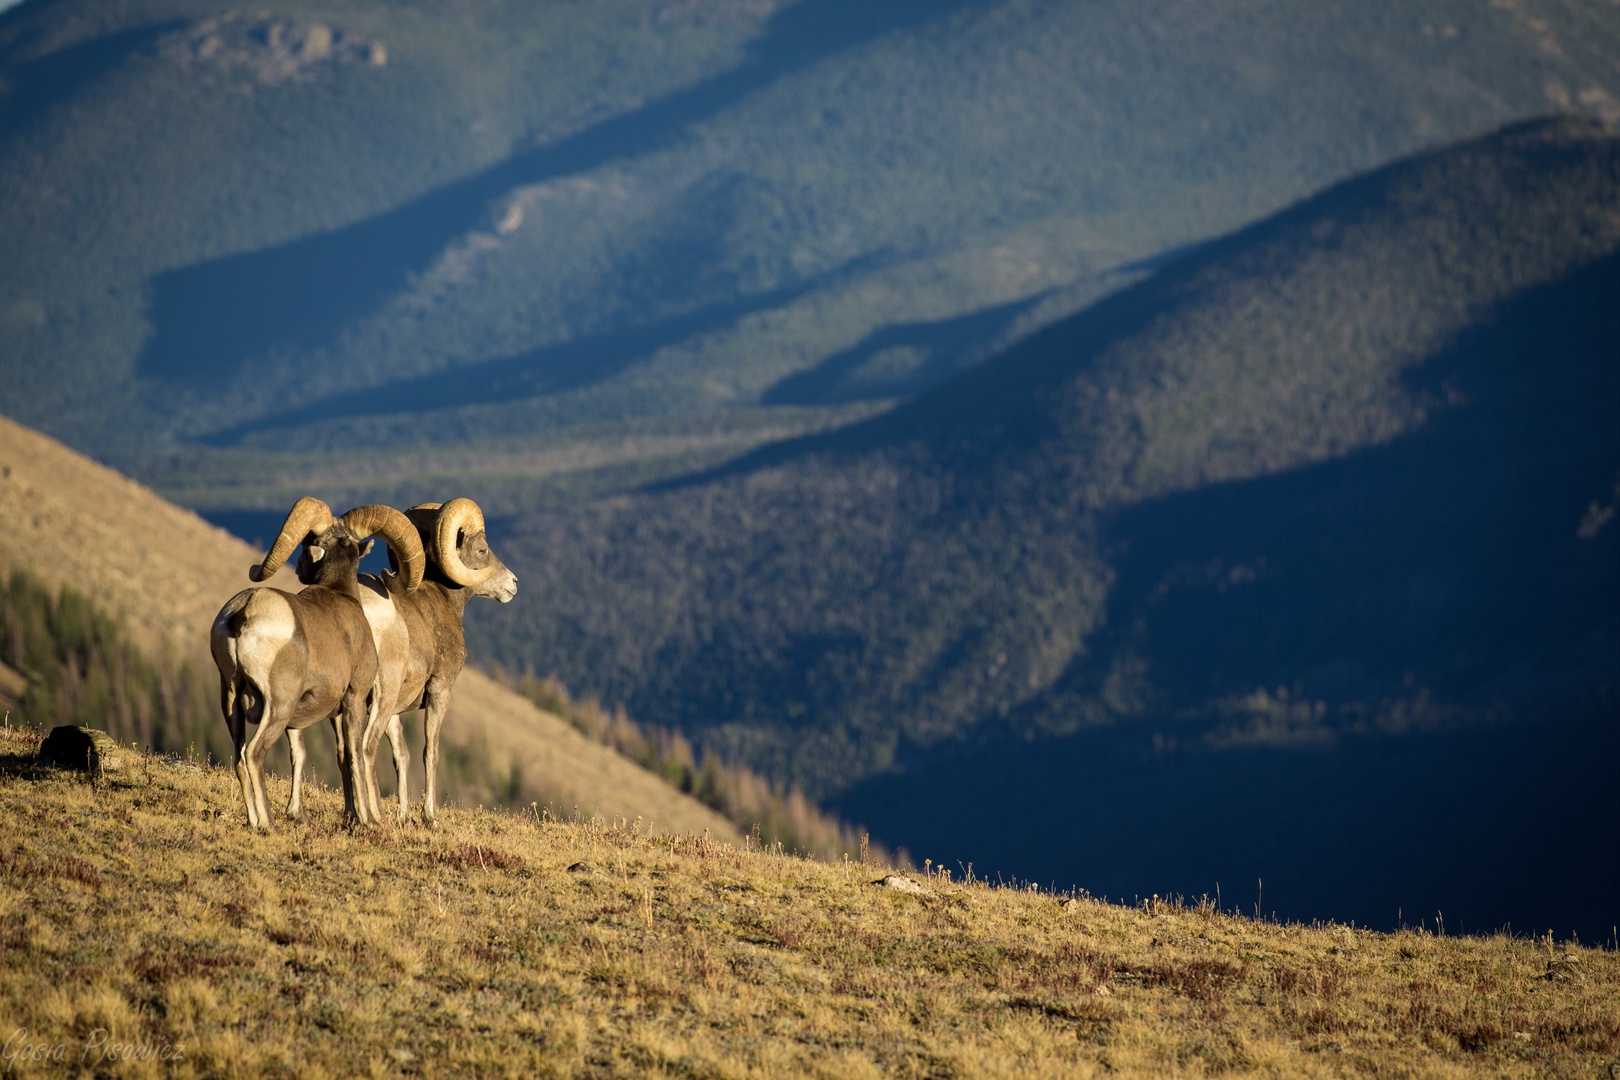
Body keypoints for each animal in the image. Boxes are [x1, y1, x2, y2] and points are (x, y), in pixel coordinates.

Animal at [210, 498, 425, 829]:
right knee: (253, 755)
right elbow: (355, 755)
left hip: (230, 697)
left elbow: (328, 755)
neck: (342, 595)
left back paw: (254, 821)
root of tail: (244, 611)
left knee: (238, 757)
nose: (300, 568)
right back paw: (269, 824)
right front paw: (368, 820)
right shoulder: (354, 697)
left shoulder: (325, 714)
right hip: (279, 705)